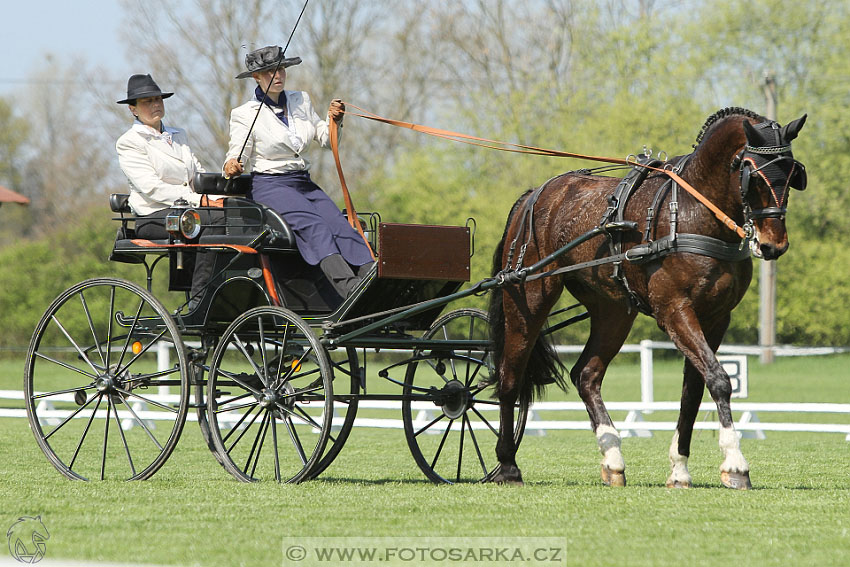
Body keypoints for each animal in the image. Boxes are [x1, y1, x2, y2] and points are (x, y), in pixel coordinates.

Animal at [486, 108, 804, 490]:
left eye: (793, 173)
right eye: (752, 174)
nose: (774, 244)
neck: (692, 213)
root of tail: (535, 194)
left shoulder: (715, 318)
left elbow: (693, 392)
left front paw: (680, 469)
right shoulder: (674, 311)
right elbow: (719, 380)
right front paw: (735, 463)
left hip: (613, 312)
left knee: (586, 375)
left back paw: (612, 458)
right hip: (528, 298)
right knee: (510, 376)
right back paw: (507, 464)